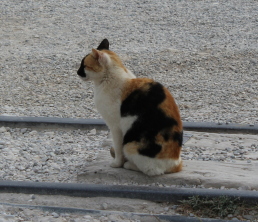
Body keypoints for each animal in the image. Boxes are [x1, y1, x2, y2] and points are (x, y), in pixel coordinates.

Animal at [77, 39, 183, 175]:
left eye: (84, 65)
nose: (77, 72)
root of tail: (175, 165)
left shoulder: (115, 127)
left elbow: (118, 148)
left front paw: (117, 164)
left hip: (129, 145)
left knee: (151, 170)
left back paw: (128, 165)